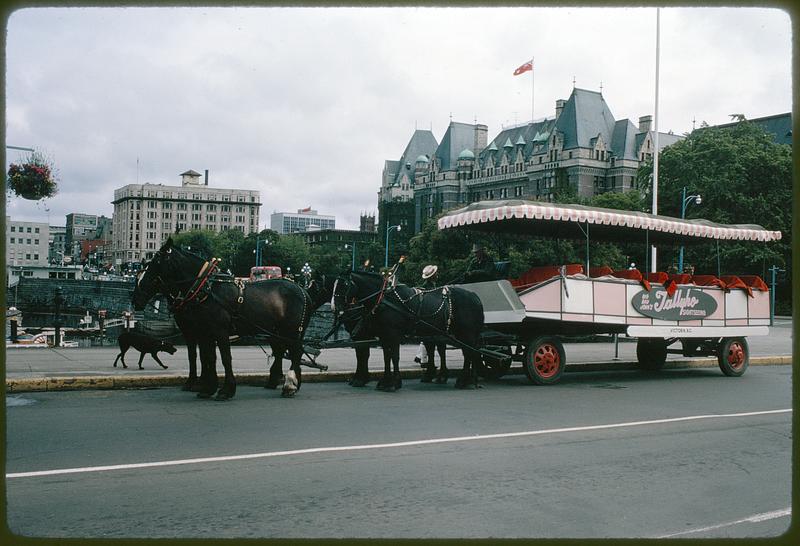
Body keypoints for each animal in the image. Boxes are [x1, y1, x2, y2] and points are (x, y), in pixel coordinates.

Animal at [133, 239, 326, 400]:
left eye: (156, 263)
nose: (136, 299)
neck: (206, 290)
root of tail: (303, 290)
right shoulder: (203, 332)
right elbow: (206, 357)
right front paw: (207, 387)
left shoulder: (218, 331)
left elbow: (224, 358)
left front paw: (225, 390)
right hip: (276, 331)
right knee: (283, 352)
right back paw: (281, 381)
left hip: (292, 330)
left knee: (295, 353)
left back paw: (290, 385)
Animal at [334, 270, 484, 388]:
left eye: (345, 285)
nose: (336, 308)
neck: (384, 300)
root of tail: (475, 296)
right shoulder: (382, 335)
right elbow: (385, 356)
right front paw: (385, 381)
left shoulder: (392, 333)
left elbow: (393, 356)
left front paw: (393, 382)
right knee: (468, 352)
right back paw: (469, 379)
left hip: (467, 332)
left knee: (469, 353)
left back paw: (465, 380)